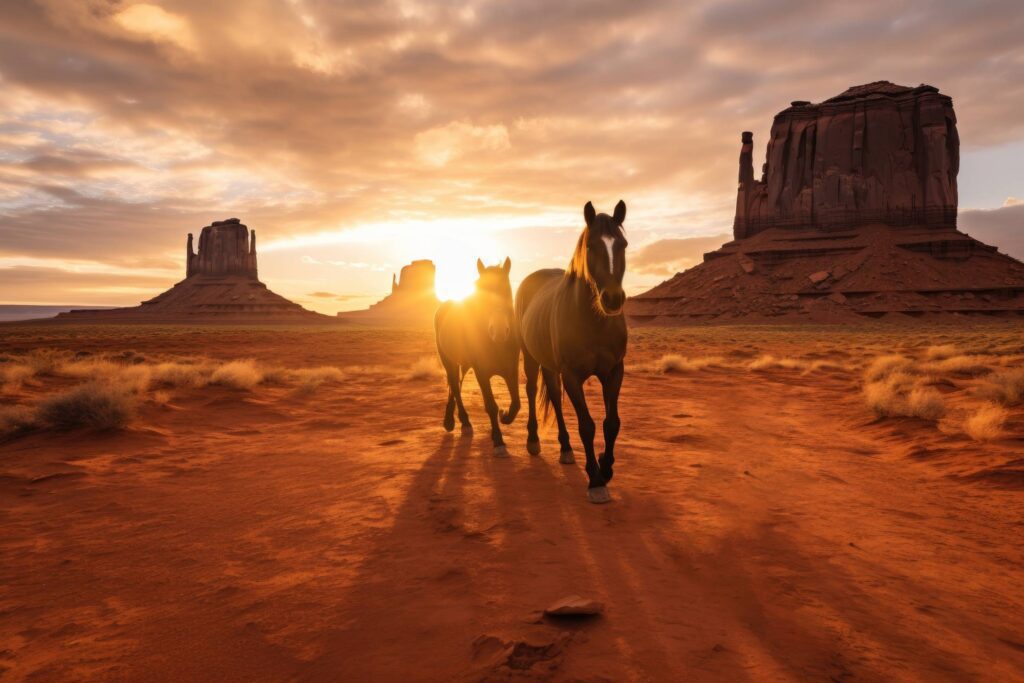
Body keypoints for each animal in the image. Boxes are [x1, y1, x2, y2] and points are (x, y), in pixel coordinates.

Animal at [432, 255, 520, 454]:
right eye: (482, 296)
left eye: (508, 291)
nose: (499, 331)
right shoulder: (482, 372)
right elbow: (490, 405)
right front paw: (498, 441)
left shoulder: (511, 370)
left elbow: (516, 403)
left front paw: (505, 416)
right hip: (449, 361)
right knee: (455, 387)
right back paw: (462, 422)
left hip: (464, 364)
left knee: (456, 384)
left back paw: (452, 419)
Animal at [516, 200, 626, 505]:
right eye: (591, 246)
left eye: (623, 244)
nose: (613, 299)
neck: (594, 322)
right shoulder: (573, 376)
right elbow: (587, 425)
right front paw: (596, 481)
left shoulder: (614, 371)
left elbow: (612, 423)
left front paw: (606, 467)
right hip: (531, 358)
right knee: (532, 390)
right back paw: (533, 440)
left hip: (550, 365)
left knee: (553, 395)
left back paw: (565, 448)